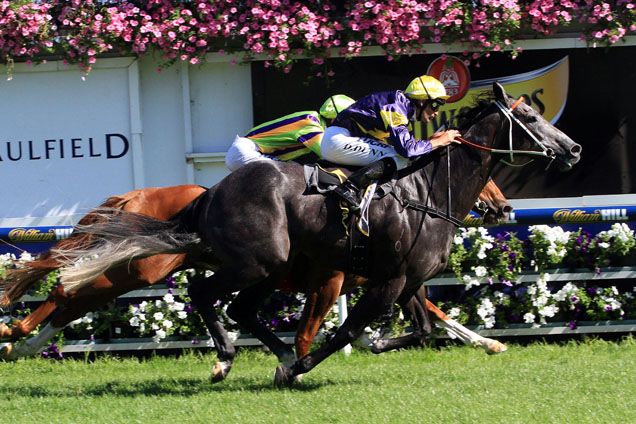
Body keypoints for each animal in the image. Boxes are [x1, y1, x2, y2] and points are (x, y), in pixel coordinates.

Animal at [0, 181, 506, 360]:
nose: (501, 206)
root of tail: (133, 197)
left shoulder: (398, 279)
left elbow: (434, 315)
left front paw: (489, 342)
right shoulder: (334, 281)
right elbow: (310, 332)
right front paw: (298, 361)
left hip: (132, 268)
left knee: (71, 294)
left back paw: (20, 341)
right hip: (140, 270)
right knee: (66, 290)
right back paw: (16, 332)